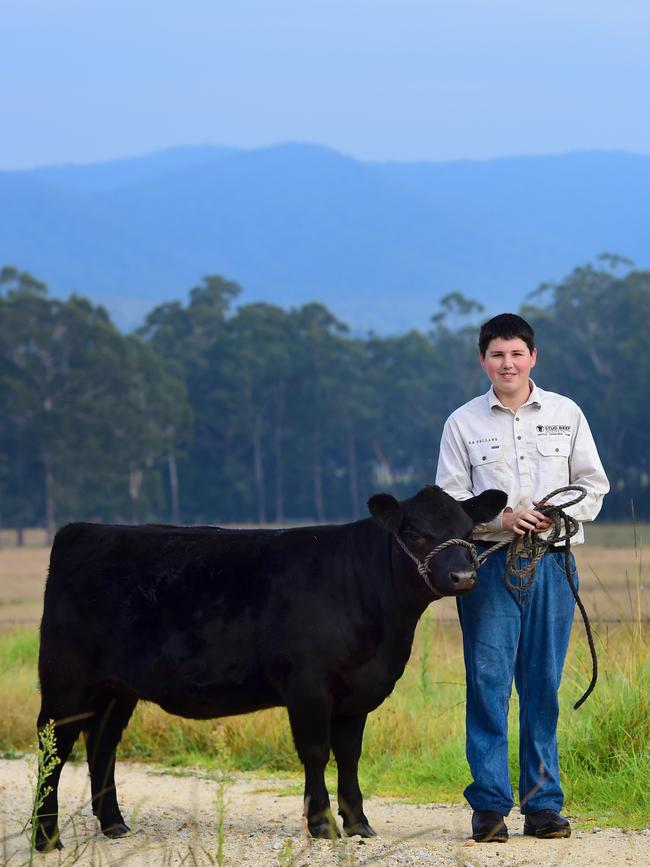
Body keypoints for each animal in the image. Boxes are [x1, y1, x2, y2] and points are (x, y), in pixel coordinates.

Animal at [33, 484, 504, 852]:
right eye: (416, 533)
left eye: (468, 533)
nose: (463, 577)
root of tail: (82, 530)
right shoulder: (309, 687)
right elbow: (316, 751)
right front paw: (322, 824)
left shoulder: (357, 691)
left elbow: (349, 754)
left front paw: (359, 824)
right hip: (65, 679)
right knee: (53, 745)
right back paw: (47, 838)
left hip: (116, 688)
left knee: (102, 743)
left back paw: (114, 825)